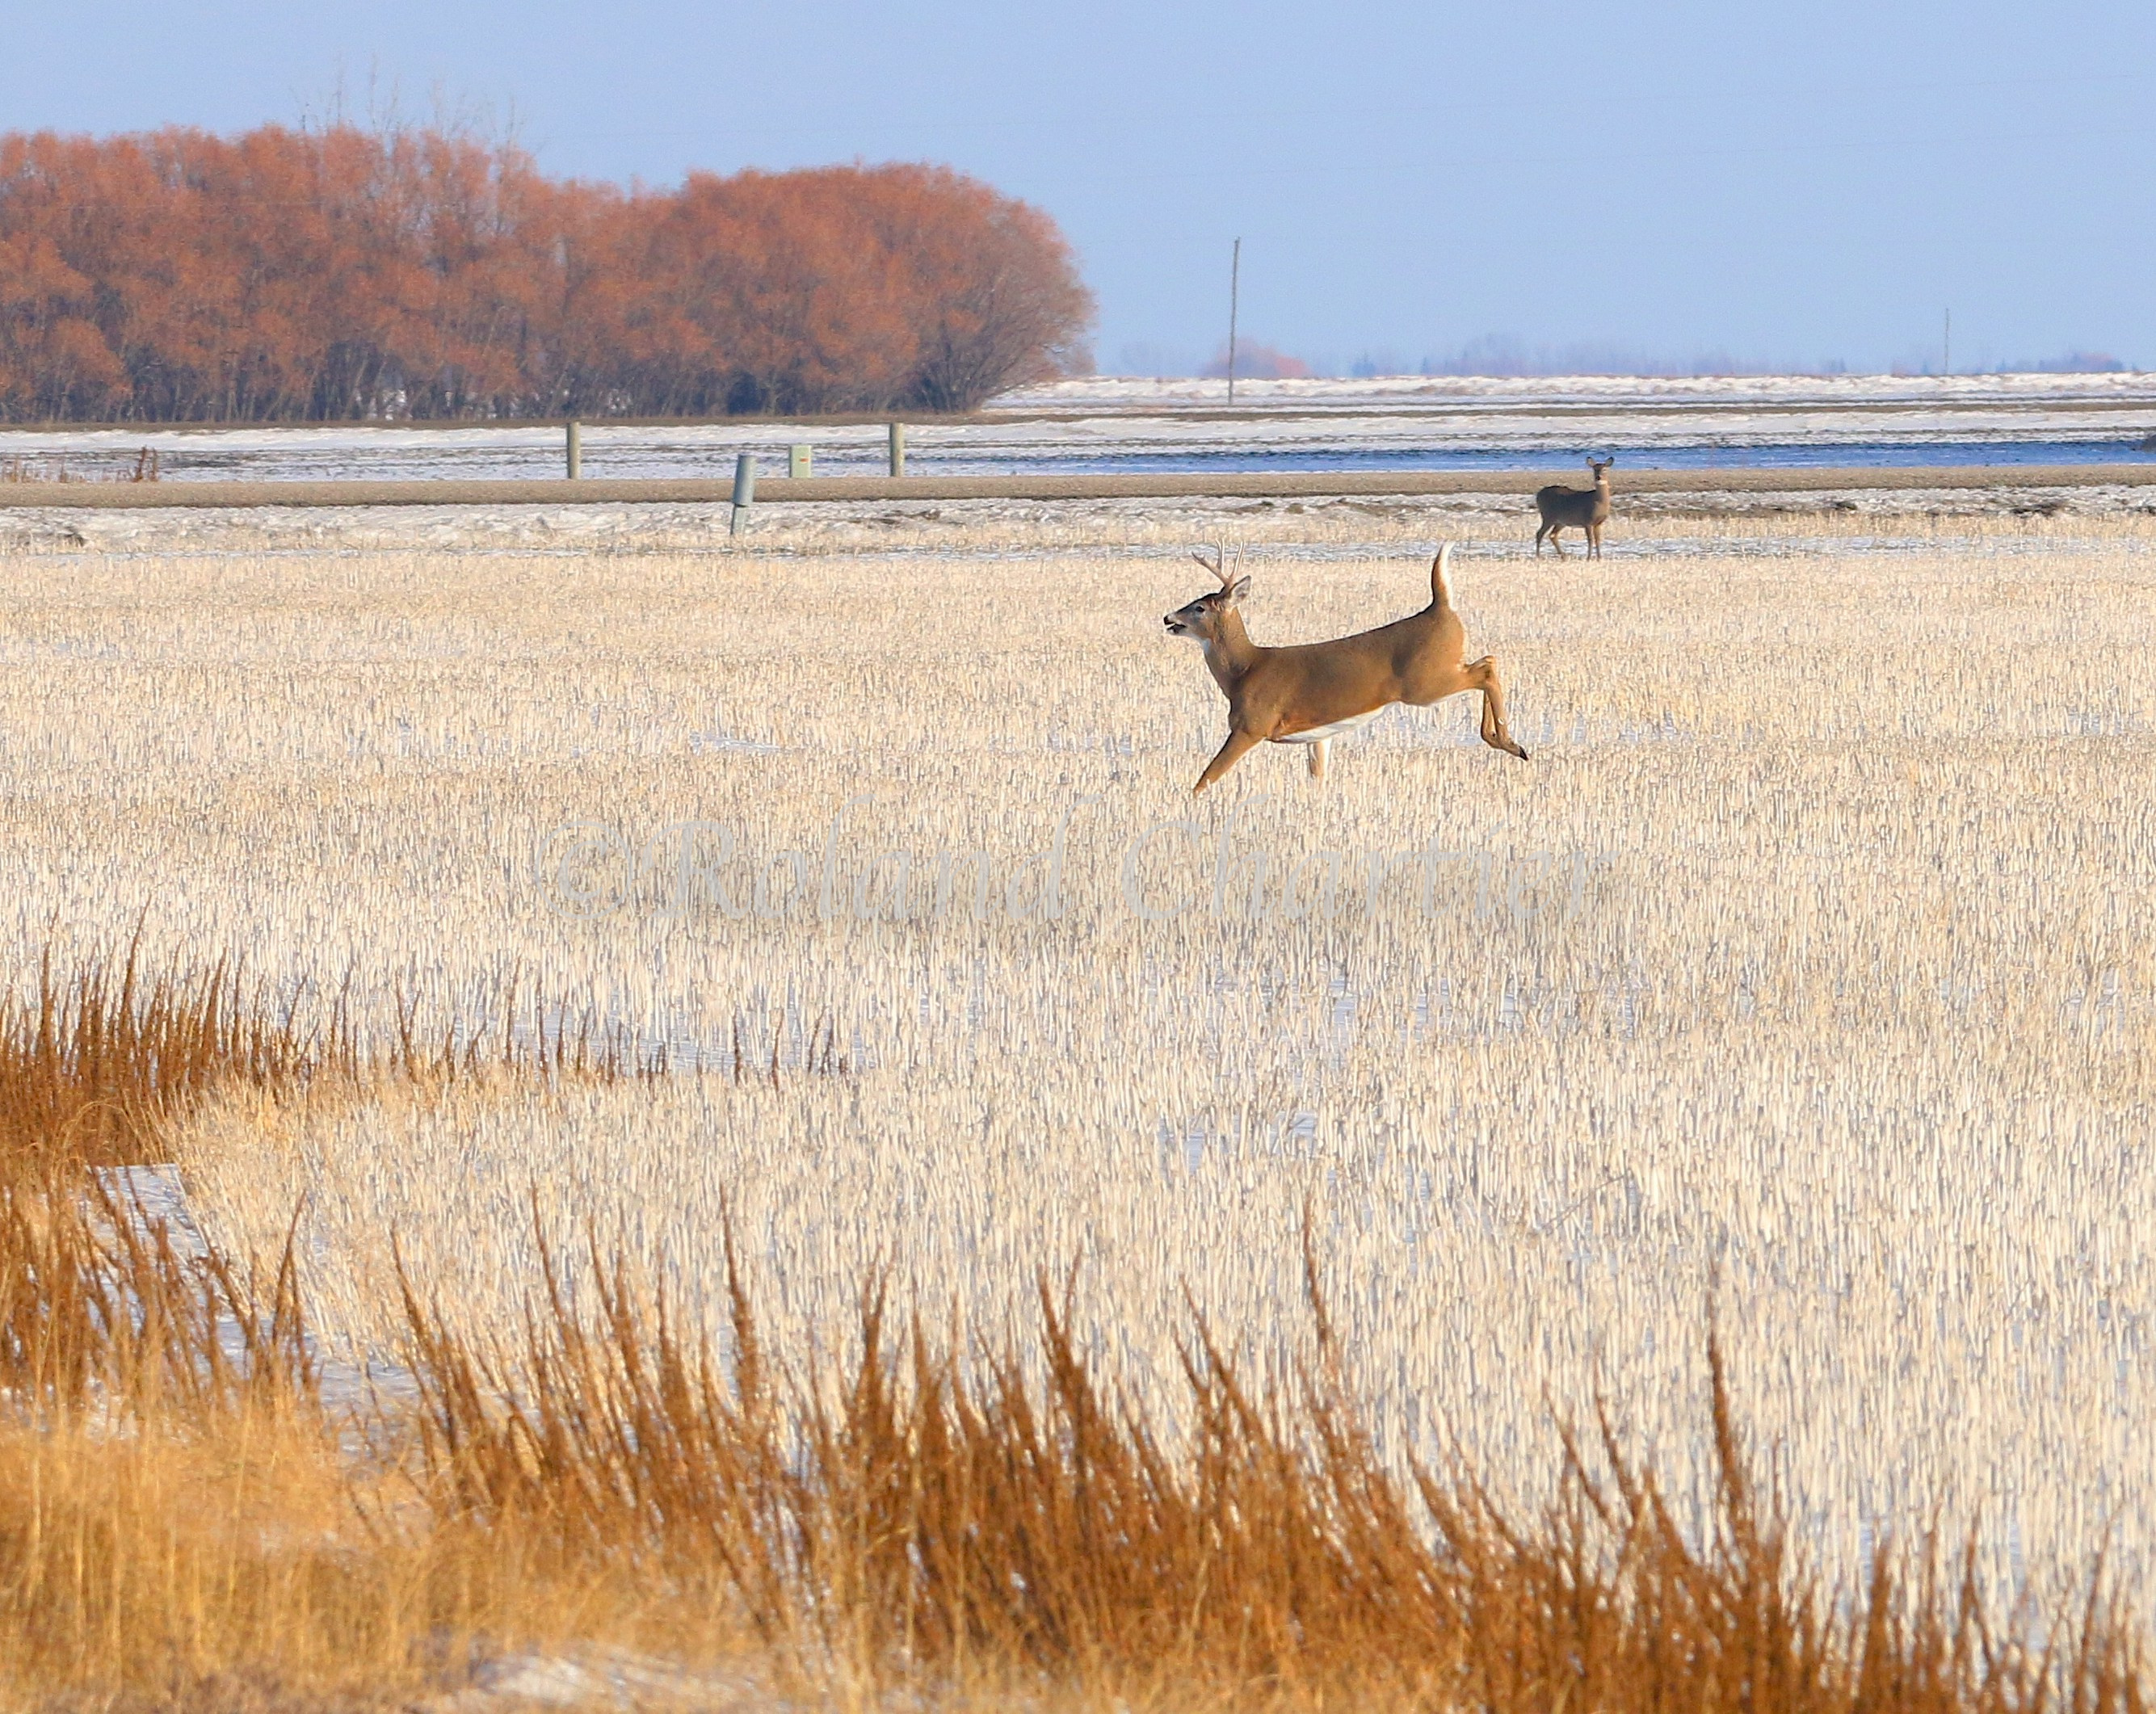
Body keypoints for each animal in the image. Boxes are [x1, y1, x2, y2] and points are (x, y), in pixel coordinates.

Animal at [1164, 543, 1535, 797]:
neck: (1244, 670)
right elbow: (1318, 778)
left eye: (1199, 607)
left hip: (1427, 683)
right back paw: (1505, 741)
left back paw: (1508, 742)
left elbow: (1206, 778)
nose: (1168, 618)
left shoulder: (1251, 725)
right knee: (1488, 661)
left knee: (1486, 669)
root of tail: (1440, 607)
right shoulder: (1318, 736)